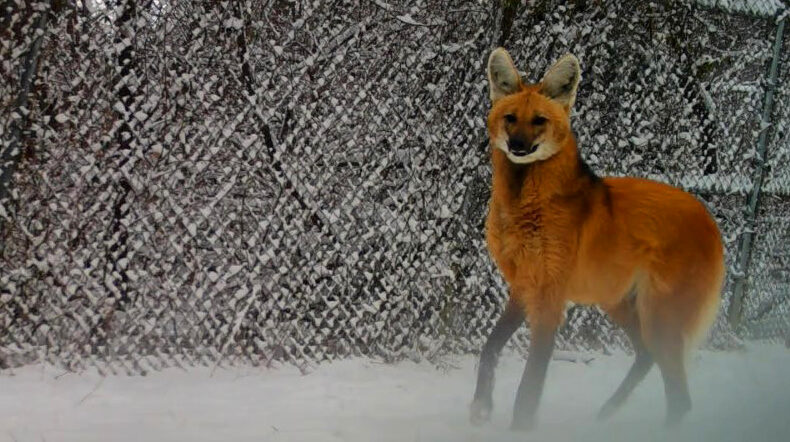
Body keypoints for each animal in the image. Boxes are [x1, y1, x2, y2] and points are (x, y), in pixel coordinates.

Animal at [470, 48, 724, 432]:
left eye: (539, 121)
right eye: (510, 118)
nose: (518, 146)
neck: (523, 200)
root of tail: (708, 218)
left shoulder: (549, 294)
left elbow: (531, 382)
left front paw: (520, 428)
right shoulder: (523, 285)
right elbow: (490, 348)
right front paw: (481, 407)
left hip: (658, 316)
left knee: (680, 397)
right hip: (617, 301)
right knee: (647, 356)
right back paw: (608, 411)